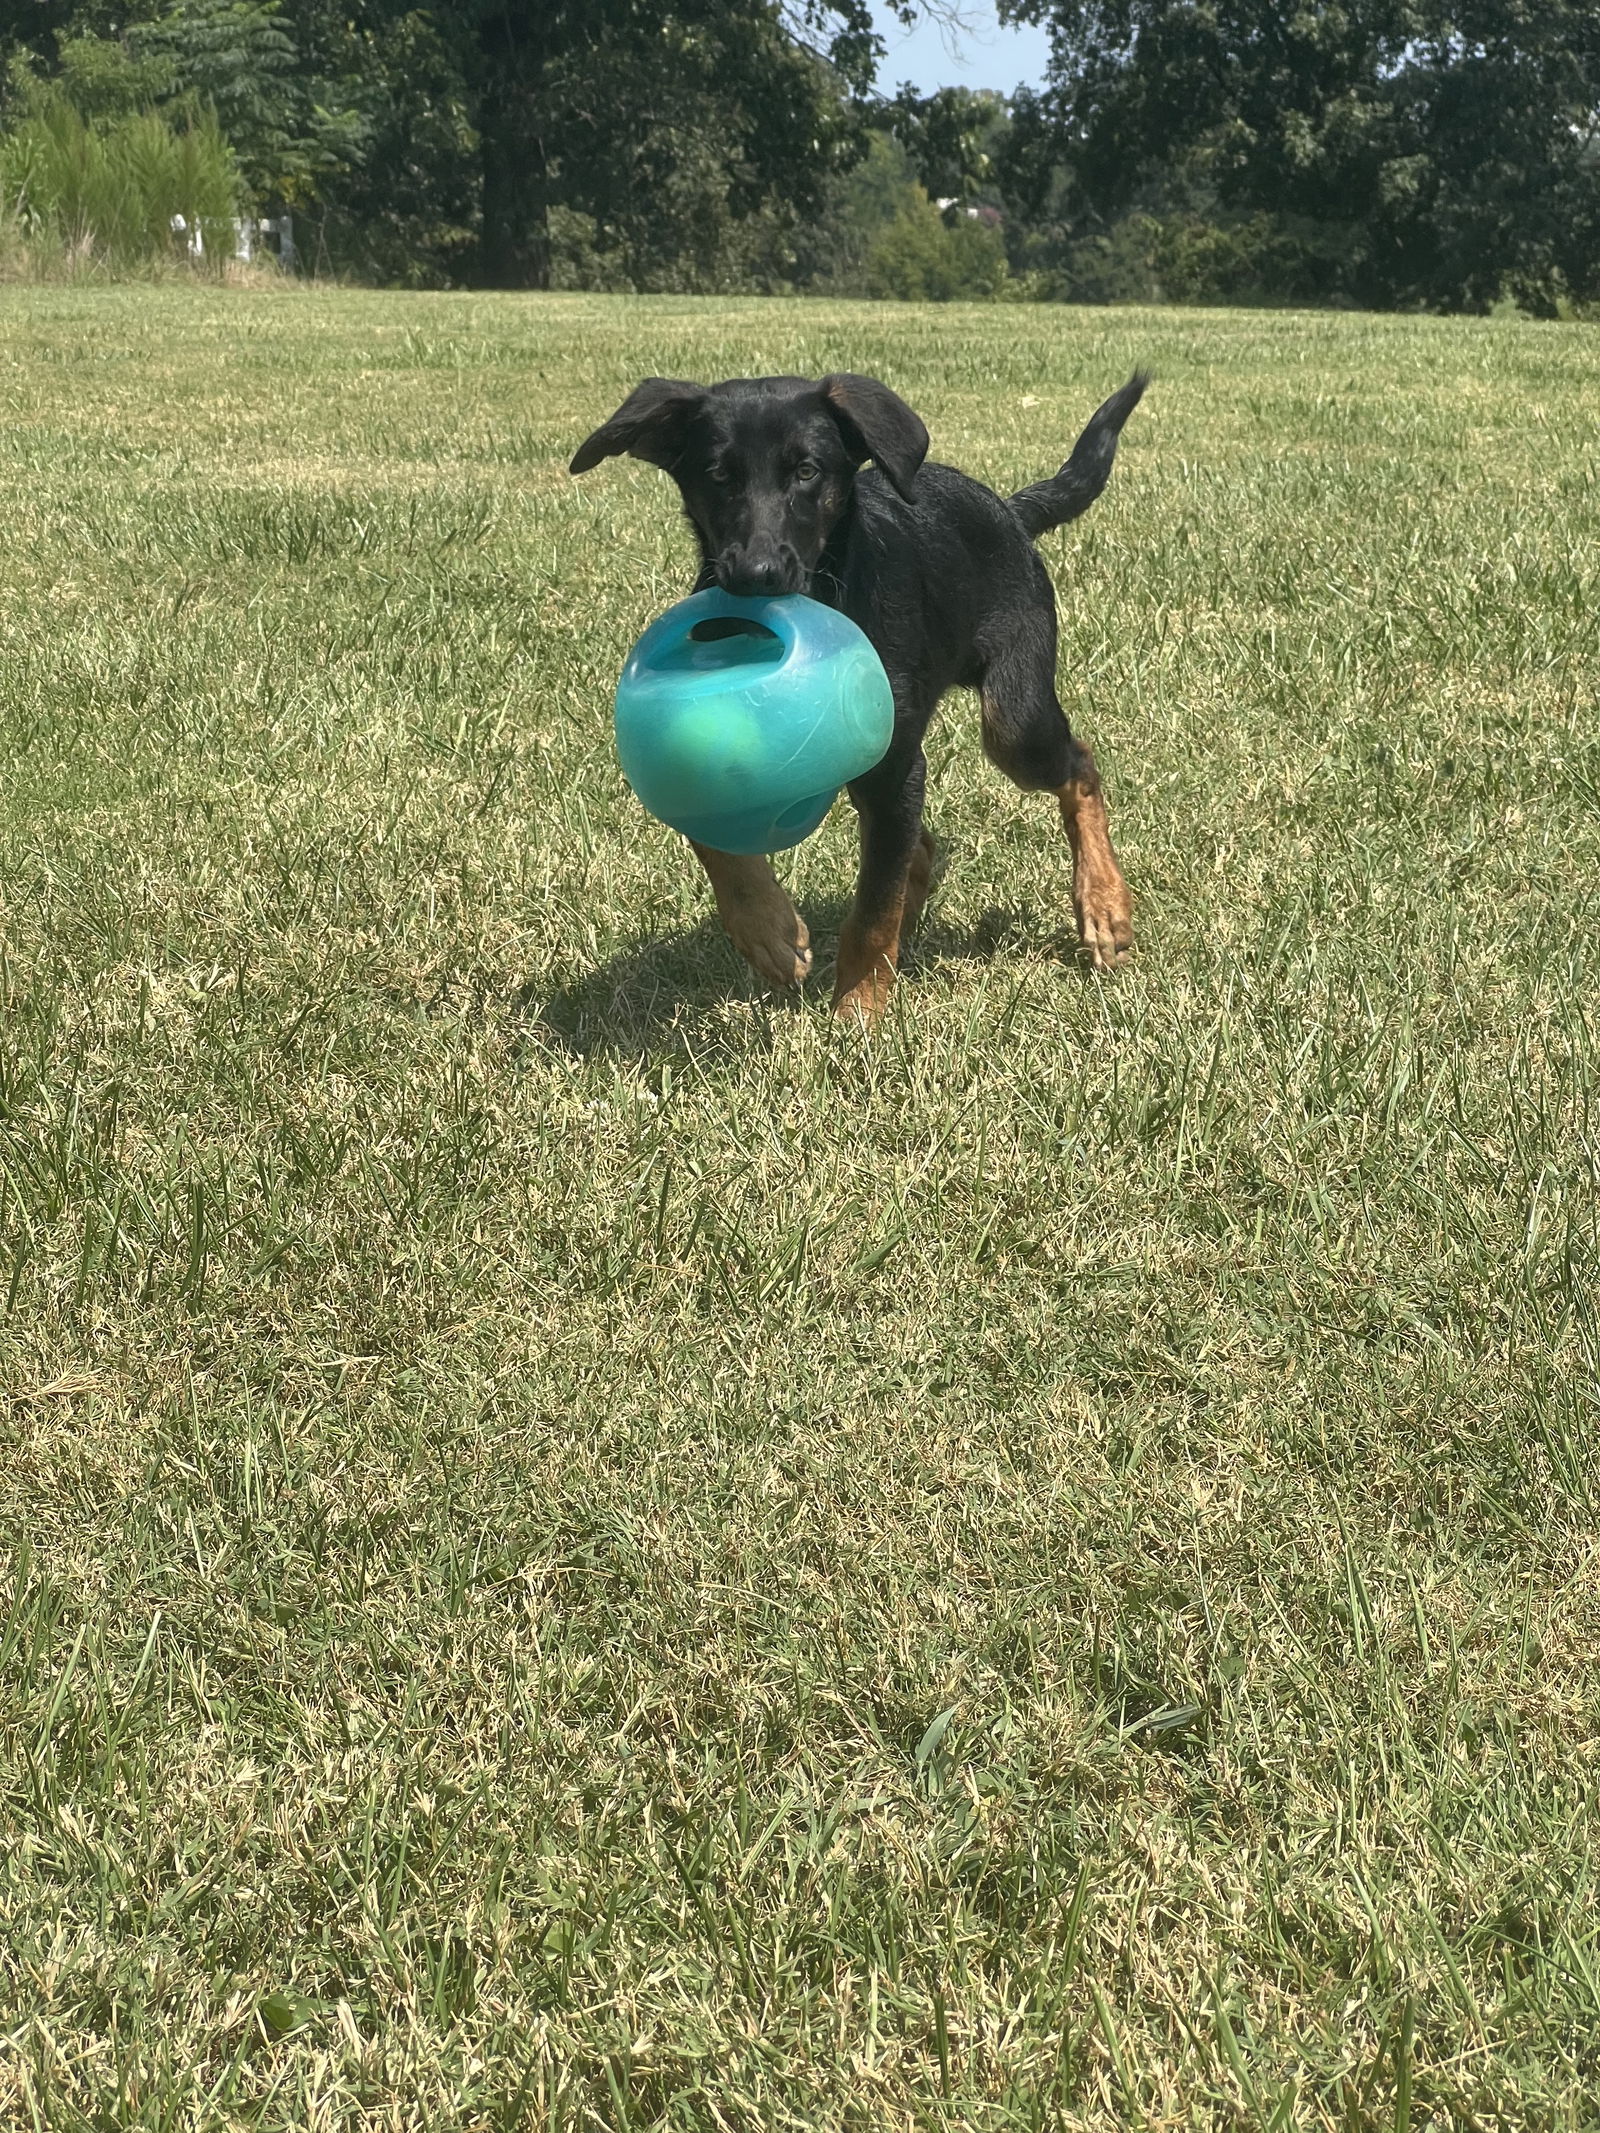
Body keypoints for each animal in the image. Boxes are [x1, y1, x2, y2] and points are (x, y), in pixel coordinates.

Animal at [571, 366, 1143, 1023]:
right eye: (717, 475)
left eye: (807, 471)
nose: (756, 575)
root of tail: (1009, 511)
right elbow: (714, 833)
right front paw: (768, 933)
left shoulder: (896, 767)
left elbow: (871, 912)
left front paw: (858, 1015)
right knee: (917, 847)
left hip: (1013, 718)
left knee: (1077, 767)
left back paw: (1103, 905)